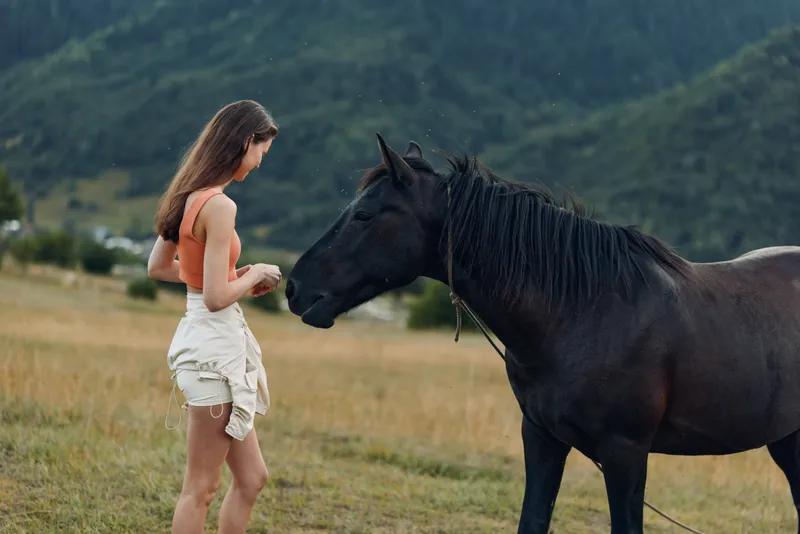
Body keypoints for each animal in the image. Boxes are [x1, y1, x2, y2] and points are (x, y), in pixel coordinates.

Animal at [285, 133, 800, 533]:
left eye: (365, 216)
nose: (295, 288)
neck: (582, 313)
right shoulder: (541, 437)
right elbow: (532, 519)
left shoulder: (625, 452)